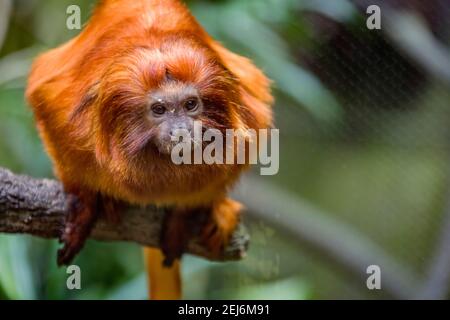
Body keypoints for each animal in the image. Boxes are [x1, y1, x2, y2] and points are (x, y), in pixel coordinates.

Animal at [26, 0, 272, 300]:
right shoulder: (66, 113)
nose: (180, 129)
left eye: (191, 104)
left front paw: (183, 213)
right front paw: (87, 203)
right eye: (159, 109)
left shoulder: (249, 111)